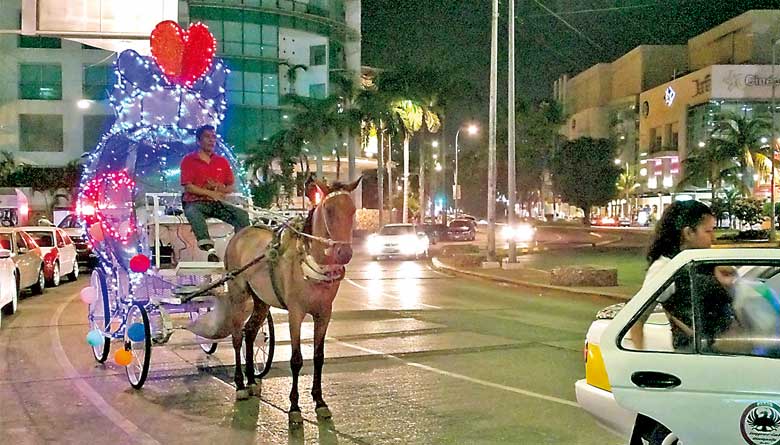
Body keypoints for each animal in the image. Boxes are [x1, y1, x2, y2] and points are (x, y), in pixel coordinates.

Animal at [216, 176, 356, 420]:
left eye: (353, 210)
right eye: (329, 210)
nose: (344, 253)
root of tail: (241, 234)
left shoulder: (324, 313)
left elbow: (318, 356)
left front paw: (319, 401)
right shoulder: (295, 313)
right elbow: (296, 359)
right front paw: (294, 407)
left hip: (261, 300)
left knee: (250, 332)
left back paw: (252, 380)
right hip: (238, 295)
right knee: (236, 337)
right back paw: (241, 385)